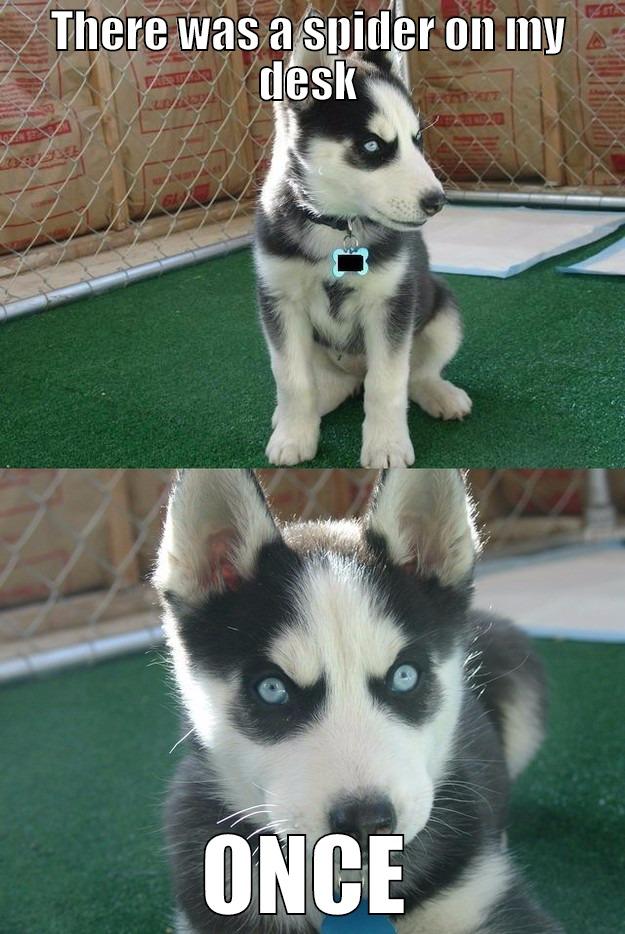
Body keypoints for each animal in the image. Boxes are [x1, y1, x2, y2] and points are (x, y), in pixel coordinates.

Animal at [251, 26, 470, 472]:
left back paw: (440, 394)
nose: (437, 201)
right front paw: (293, 436)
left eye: (417, 140)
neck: (337, 225)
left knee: (414, 375)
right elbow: (292, 379)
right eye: (372, 146)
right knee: (332, 384)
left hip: (443, 312)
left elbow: (387, 383)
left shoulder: (391, 304)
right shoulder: (279, 301)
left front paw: (386, 445)